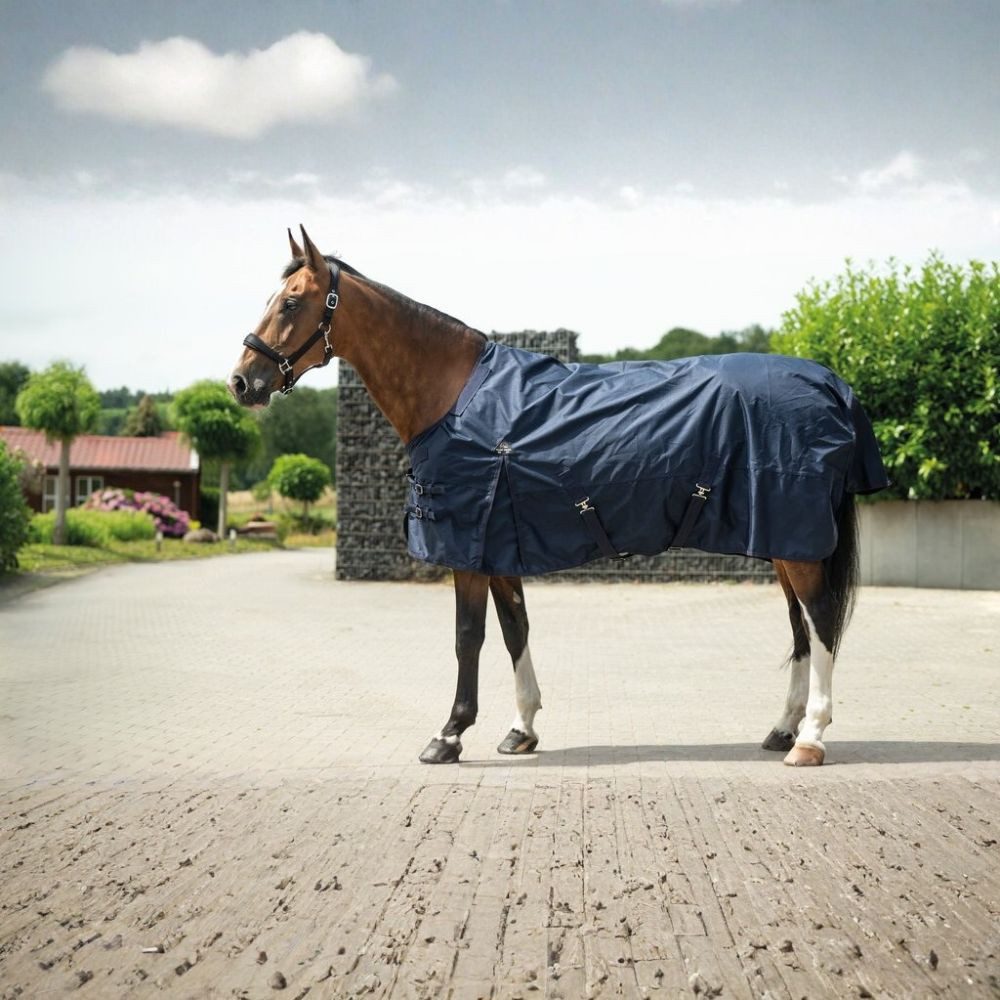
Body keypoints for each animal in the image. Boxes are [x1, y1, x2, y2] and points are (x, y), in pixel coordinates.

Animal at [229, 226, 888, 768]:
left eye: (291, 303)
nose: (242, 382)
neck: (456, 395)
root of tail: (830, 386)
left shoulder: (469, 547)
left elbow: (469, 636)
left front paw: (449, 735)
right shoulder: (499, 546)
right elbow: (515, 629)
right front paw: (520, 729)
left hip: (797, 543)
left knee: (821, 624)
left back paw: (810, 739)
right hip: (782, 541)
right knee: (801, 630)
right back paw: (782, 729)